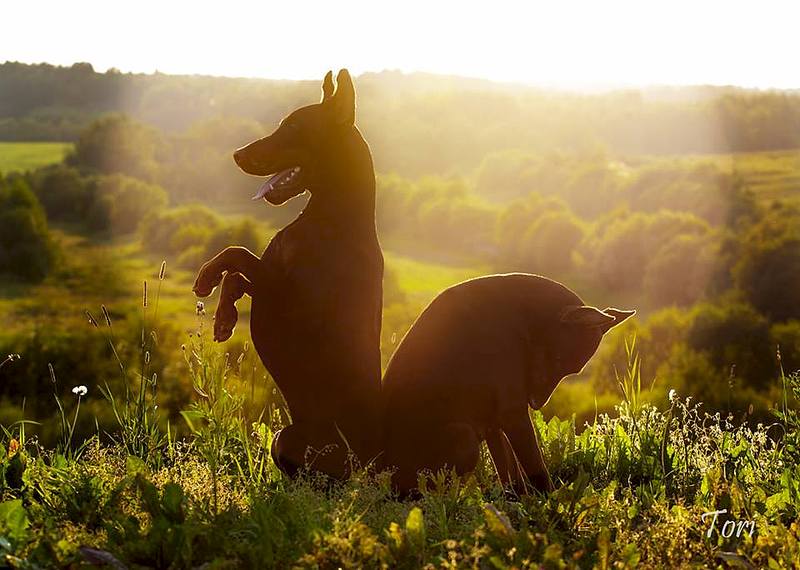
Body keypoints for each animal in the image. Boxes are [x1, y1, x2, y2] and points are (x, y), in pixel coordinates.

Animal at [192, 69, 382, 478]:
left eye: (293, 127)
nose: (237, 154)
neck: (327, 218)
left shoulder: (289, 298)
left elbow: (239, 255)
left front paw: (208, 280)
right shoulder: (271, 283)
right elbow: (240, 272)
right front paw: (223, 317)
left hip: (296, 440)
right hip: (282, 437)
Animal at [380, 272, 632, 492]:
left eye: (569, 370)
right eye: (558, 360)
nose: (537, 403)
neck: (526, 319)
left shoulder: (493, 422)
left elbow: (510, 472)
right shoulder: (512, 414)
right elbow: (535, 469)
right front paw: (549, 506)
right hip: (464, 437)